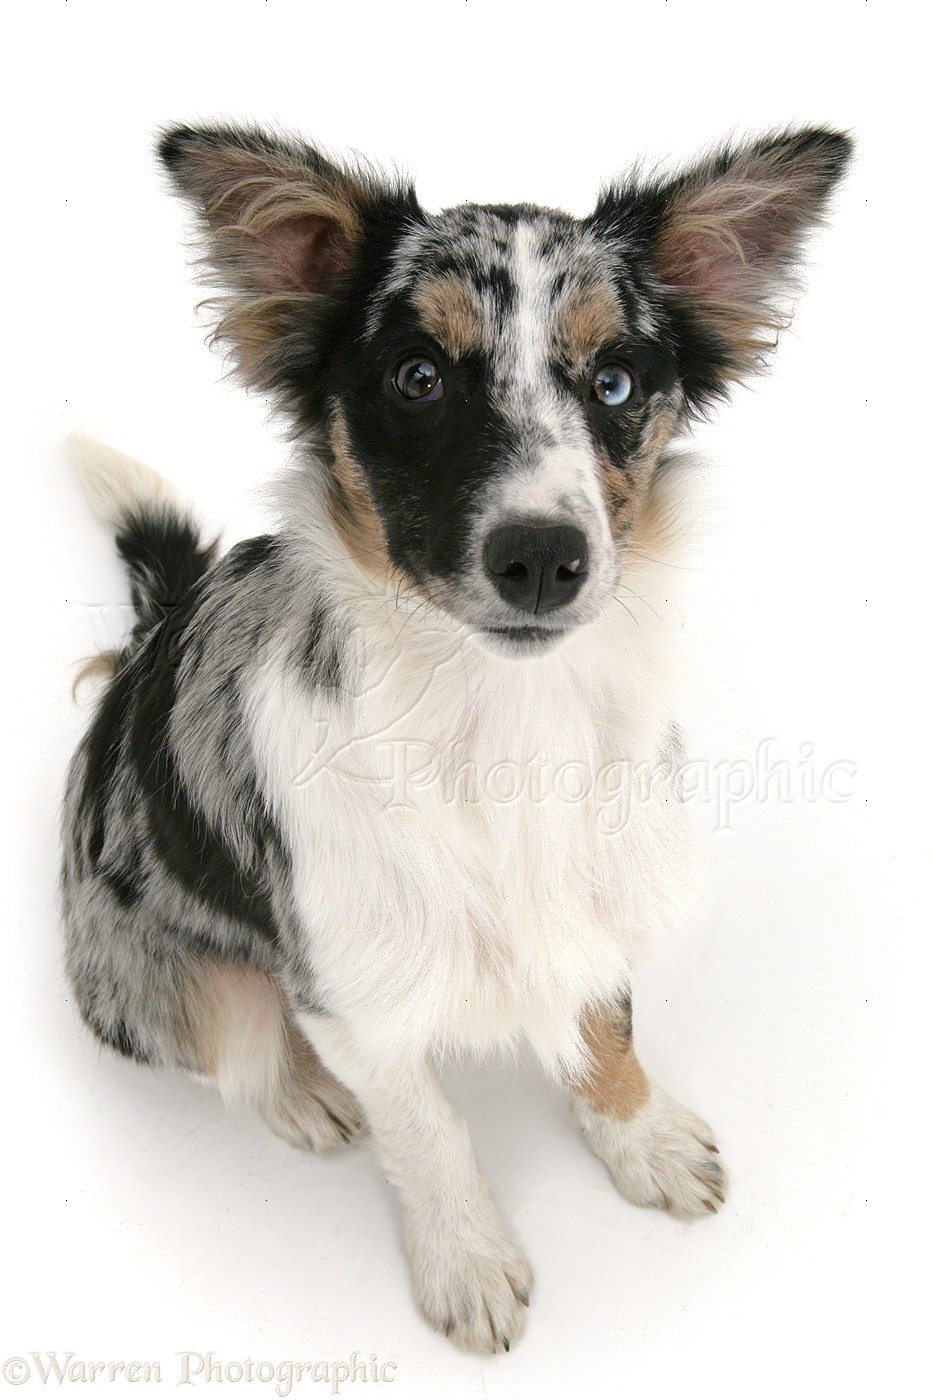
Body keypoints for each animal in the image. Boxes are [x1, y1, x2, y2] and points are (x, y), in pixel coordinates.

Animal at [61, 126, 851, 1349]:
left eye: (615, 380)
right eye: (417, 377)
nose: (542, 557)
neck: (499, 720)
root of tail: (149, 636)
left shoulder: (599, 892)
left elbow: (609, 1027)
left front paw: (641, 1136)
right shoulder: (349, 988)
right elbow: (425, 1128)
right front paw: (467, 1256)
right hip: (168, 983)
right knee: (238, 1045)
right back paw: (301, 1094)